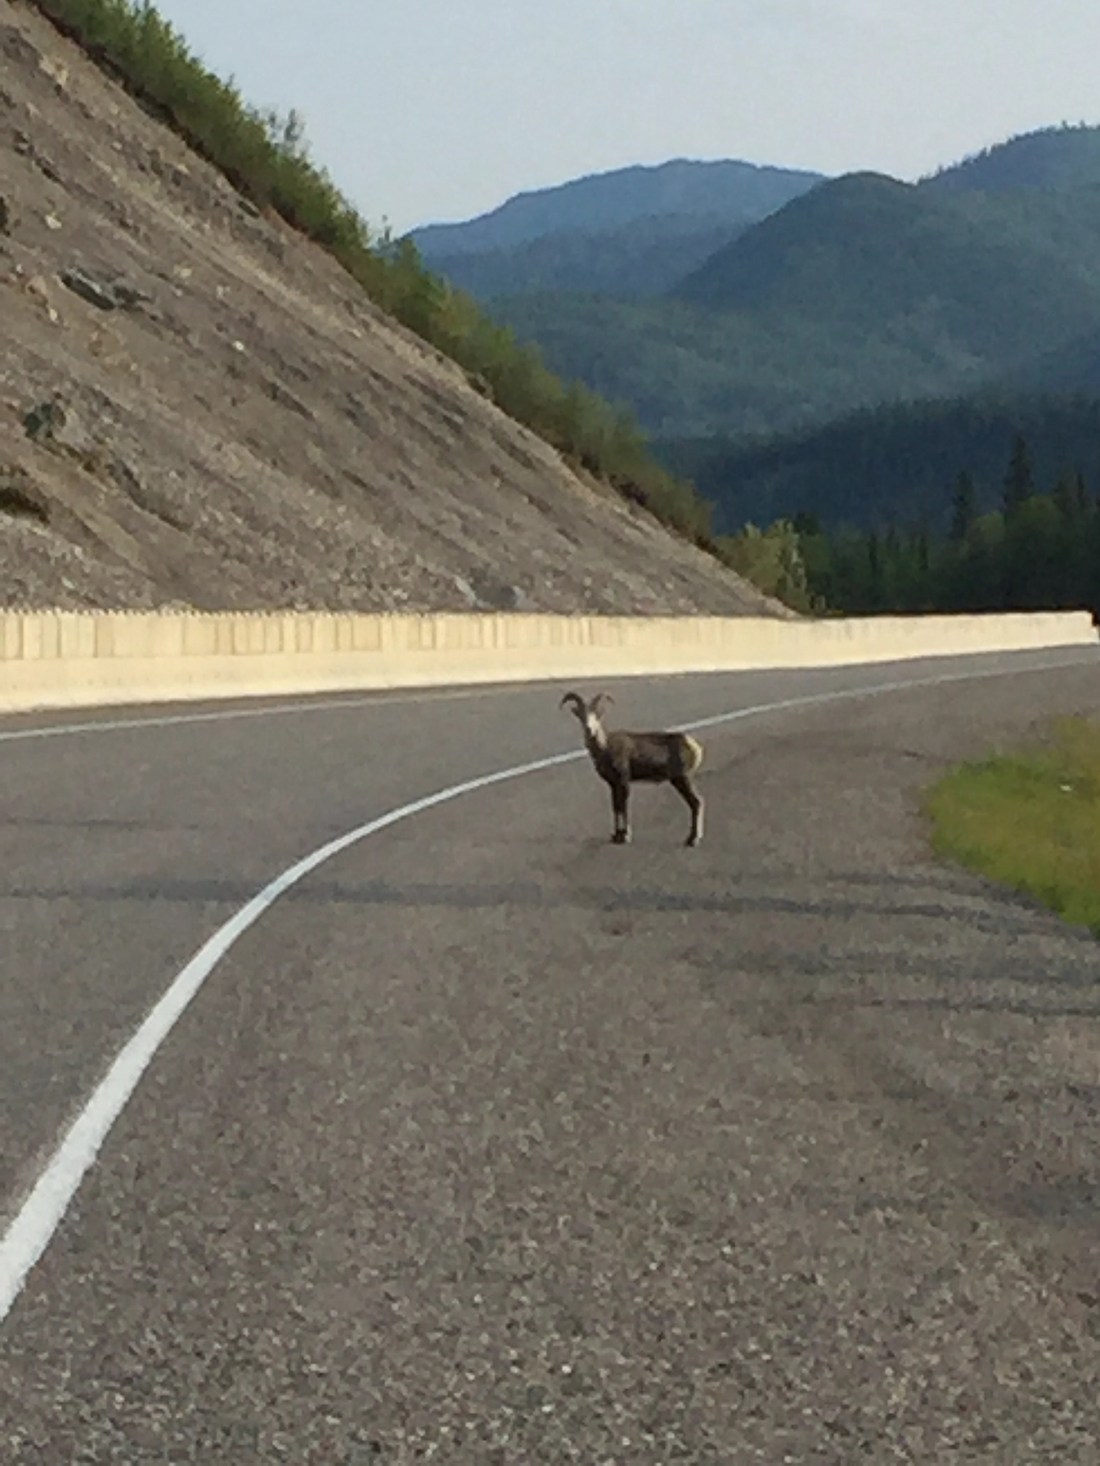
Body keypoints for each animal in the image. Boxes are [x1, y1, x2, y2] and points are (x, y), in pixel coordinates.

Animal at [560, 690, 704, 846]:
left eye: (596, 715)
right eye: (581, 715)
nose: (589, 729)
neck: (606, 747)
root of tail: (694, 746)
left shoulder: (624, 782)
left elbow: (623, 807)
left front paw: (625, 836)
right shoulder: (613, 784)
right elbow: (616, 808)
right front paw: (616, 836)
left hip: (682, 779)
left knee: (696, 803)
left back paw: (693, 840)